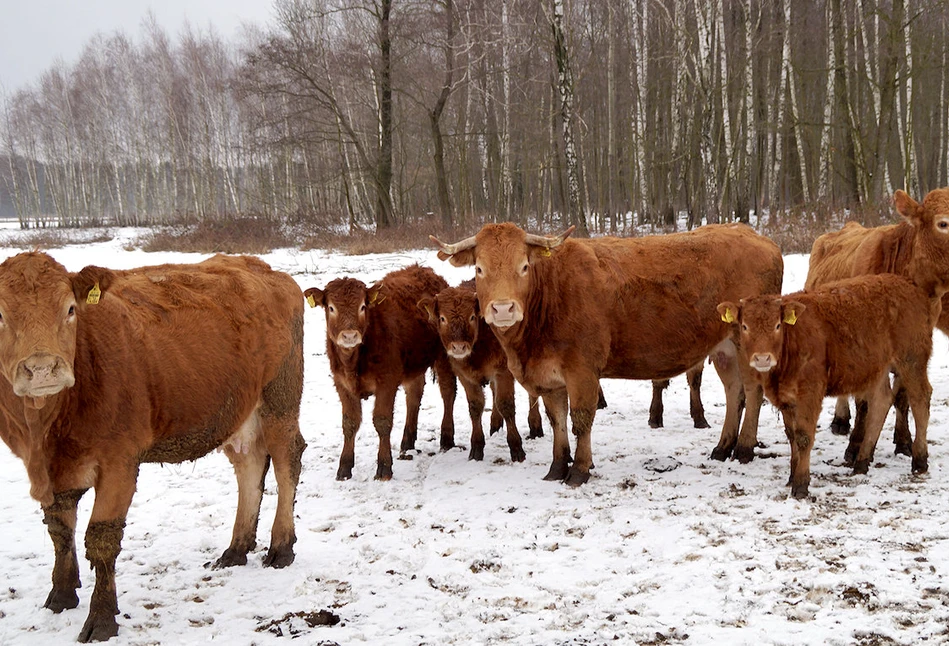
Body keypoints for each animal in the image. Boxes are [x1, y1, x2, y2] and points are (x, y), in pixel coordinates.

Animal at [0, 253, 306, 644]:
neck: (47, 430)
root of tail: (262, 268)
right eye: (0, 315)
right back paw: (236, 549)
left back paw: (281, 546)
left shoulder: (119, 461)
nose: (42, 369)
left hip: (280, 399)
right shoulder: (47, 469)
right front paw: (62, 594)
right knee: (249, 466)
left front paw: (101, 617)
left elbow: (101, 539)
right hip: (237, 409)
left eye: (70, 309)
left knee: (286, 463)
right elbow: (59, 530)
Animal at [302, 264, 454, 480]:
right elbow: (349, 423)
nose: (349, 335)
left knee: (448, 392)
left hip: (444, 355)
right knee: (414, 396)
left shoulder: (387, 381)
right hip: (413, 365)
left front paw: (384, 467)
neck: (353, 361)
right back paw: (407, 442)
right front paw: (344, 467)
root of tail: (424, 270)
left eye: (362, 307)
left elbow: (382, 421)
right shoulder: (341, 383)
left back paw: (447, 438)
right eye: (331, 308)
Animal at [434, 223, 780, 486]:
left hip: (749, 345)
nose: (504, 308)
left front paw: (579, 469)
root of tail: (753, 234)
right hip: (724, 349)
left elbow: (581, 419)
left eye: (524, 266)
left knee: (752, 391)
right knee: (735, 392)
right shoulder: (551, 376)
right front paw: (557, 466)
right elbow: (557, 419)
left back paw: (744, 448)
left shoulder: (582, 370)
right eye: (480, 268)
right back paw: (723, 447)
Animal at [720, 274, 932, 502]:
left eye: (777, 325)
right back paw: (861, 462)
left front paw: (801, 485)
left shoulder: (810, 393)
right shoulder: (786, 398)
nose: (762, 358)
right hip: (876, 368)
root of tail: (906, 283)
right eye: (744, 326)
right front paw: (792, 476)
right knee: (881, 401)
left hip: (912, 358)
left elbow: (804, 437)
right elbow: (792, 435)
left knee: (920, 400)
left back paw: (920, 460)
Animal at [804, 187, 948, 454]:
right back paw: (841, 420)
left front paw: (904, 440)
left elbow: (903, 397)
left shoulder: (912, 347)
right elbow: (864, 402)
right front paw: (855, 446)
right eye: (943, 223)